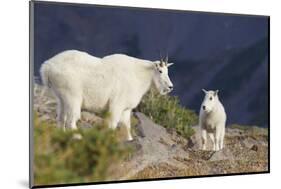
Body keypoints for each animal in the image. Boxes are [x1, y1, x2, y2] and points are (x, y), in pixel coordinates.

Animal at [40, 50, 173, 140]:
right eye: (160, 71)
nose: (170, 87)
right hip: (72, 96)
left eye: (168, 71)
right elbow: (112, 125)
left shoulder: (126, 109)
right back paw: (79, 138)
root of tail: (47, 67)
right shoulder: (117, 105)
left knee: (61, 118)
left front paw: (129, 140)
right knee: (71, 121)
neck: (139, 75)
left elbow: (127, 126)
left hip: (61, 97)